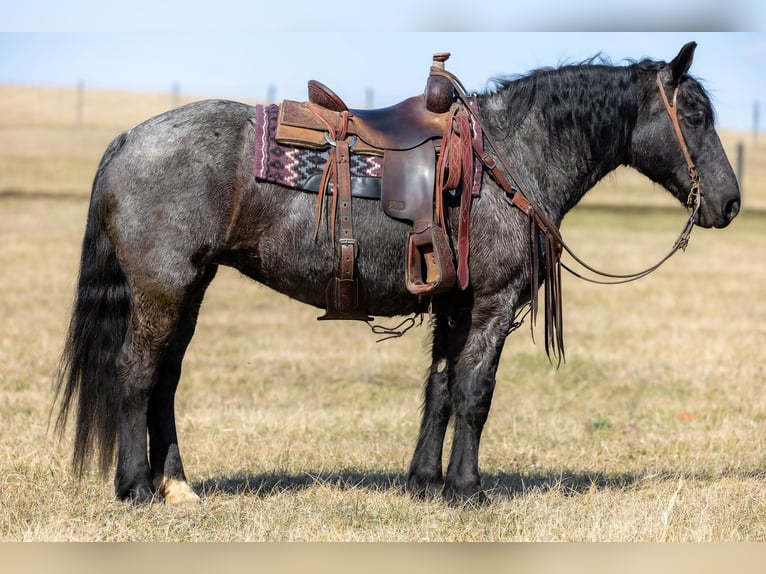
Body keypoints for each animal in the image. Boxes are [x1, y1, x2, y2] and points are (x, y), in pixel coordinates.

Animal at [54, 42, 744, 506]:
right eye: (694, 113)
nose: (732, 203)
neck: (510, 156)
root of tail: (126, 140)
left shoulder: (455, 304)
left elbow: (440, 388)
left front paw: (424, 481)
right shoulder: (492, 304)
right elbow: (475, 392)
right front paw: (467, 488)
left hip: (188, 290)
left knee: (165, 380)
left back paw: (177, 485)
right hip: (162, 289)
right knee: (137, 374)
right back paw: (137, 487)